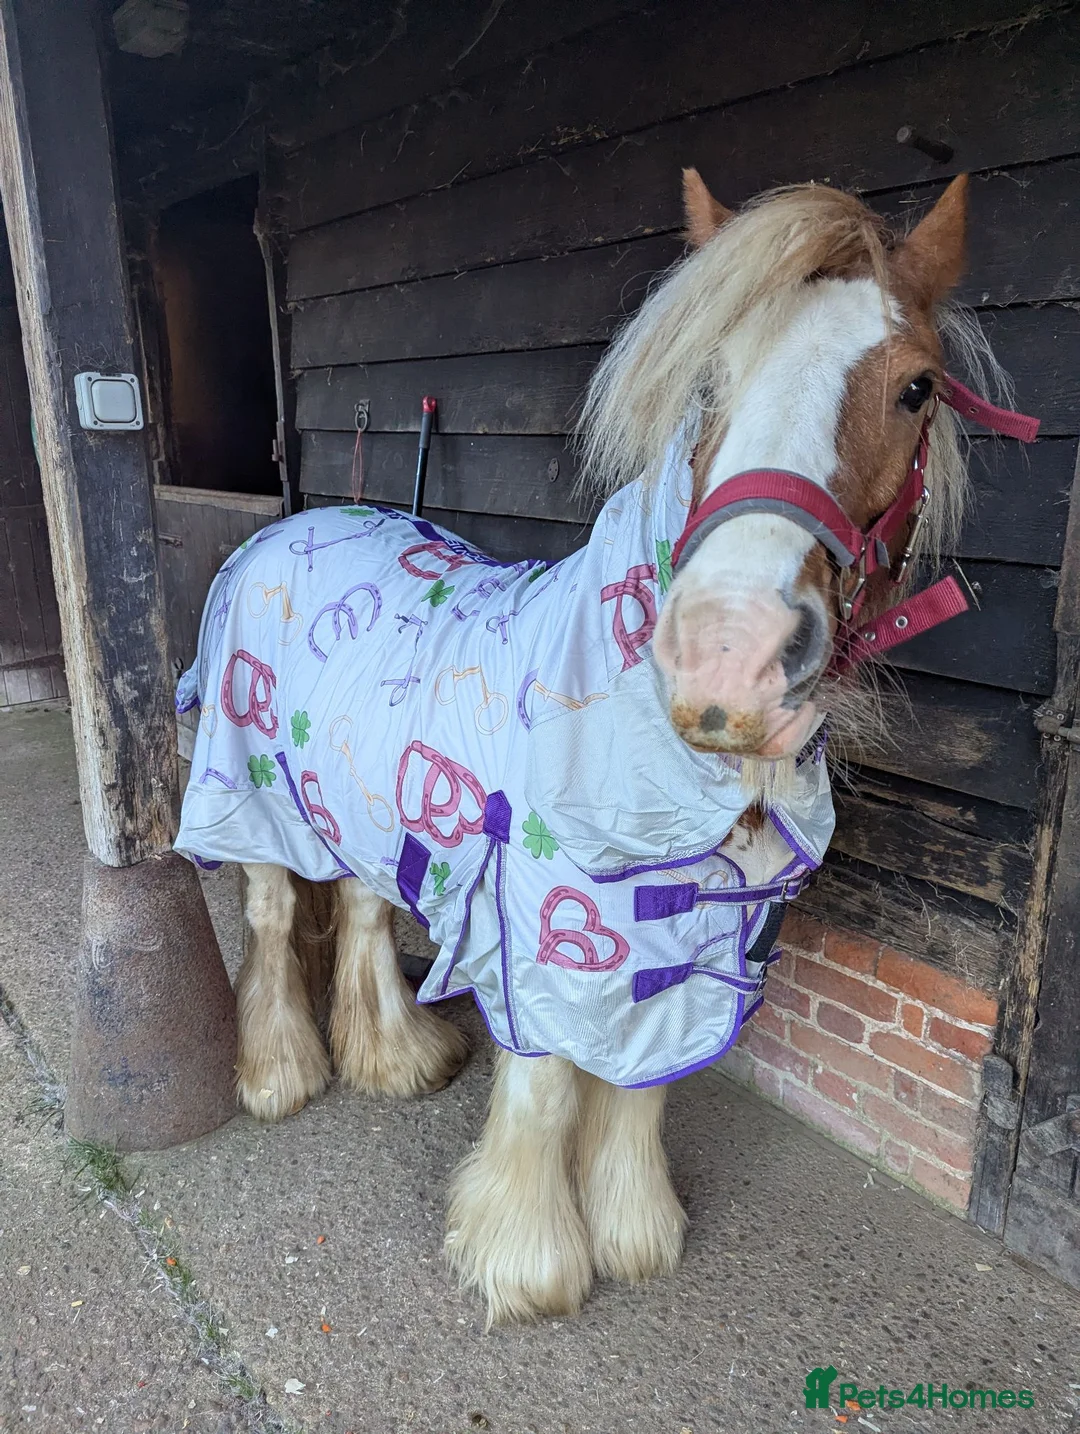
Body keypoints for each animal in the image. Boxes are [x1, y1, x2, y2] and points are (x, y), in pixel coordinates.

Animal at [175, 170, 1031, 1326]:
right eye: (704, 376)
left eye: (917, 389)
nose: (727, 664)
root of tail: (286, 528)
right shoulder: (542, 935)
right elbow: (545, 1090)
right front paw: (529, 1262)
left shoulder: (690, 950)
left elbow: (641, 1089)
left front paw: (636, 1235)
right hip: (256, 799)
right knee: (272, 921)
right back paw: (279, 1078)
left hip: (360, 799)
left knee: (359, 908)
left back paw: (396, 1057)